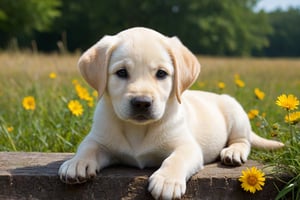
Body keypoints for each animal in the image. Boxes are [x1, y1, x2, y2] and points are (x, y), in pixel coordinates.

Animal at [58, 27, 284, 199]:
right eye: (121, 72)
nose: (142, 103)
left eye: (161, 74)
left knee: (243, 140)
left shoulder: (187, 146)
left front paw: (167, 181)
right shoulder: (100, 139)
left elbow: (176, 158)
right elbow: (87, 147)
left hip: (235, 111)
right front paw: (76, 163)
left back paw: (233, 152)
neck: (138, 130)